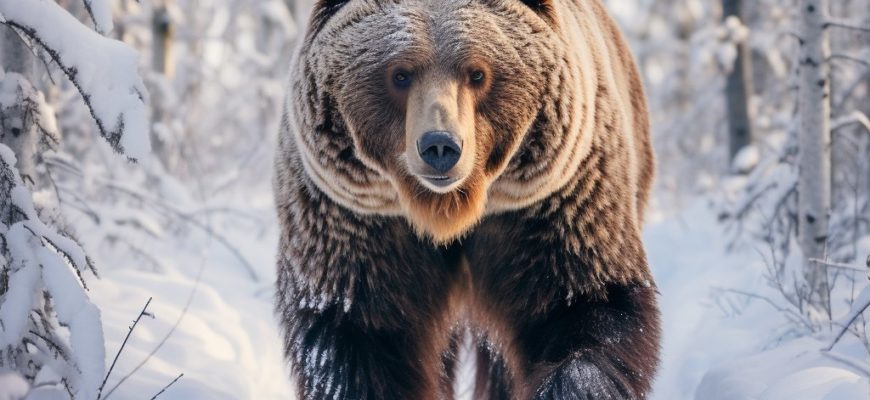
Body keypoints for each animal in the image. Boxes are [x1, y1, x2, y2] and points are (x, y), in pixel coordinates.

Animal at [273, 0, 660, 399]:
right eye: (400, 74)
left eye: (477, 73)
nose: (440, 146)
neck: (447, 210)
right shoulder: (357, 220)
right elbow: (359, 330)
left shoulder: (552, 206)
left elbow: (586, 309)